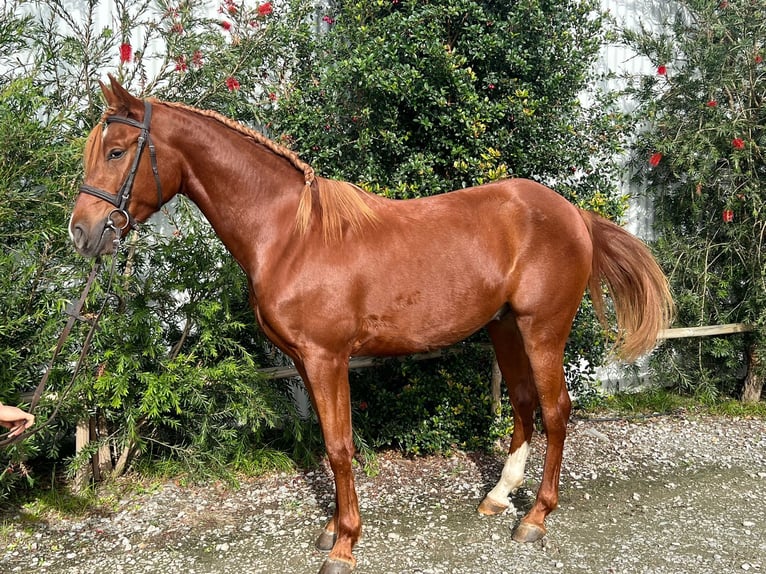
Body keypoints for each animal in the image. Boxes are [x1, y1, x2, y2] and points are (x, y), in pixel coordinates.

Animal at [70, 77, 672, 574]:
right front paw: (333, 529)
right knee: (524, 405)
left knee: (556, 411)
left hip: (542, 330)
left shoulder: (326, 357)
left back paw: (535, 519)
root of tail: (574, 214)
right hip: (505, 328)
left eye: (117, 151)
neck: (291, 234)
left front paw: (344, 545)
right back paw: (498, 497)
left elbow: (340, 446)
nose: (82, 232)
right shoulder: (305, 362)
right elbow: (330, 443)